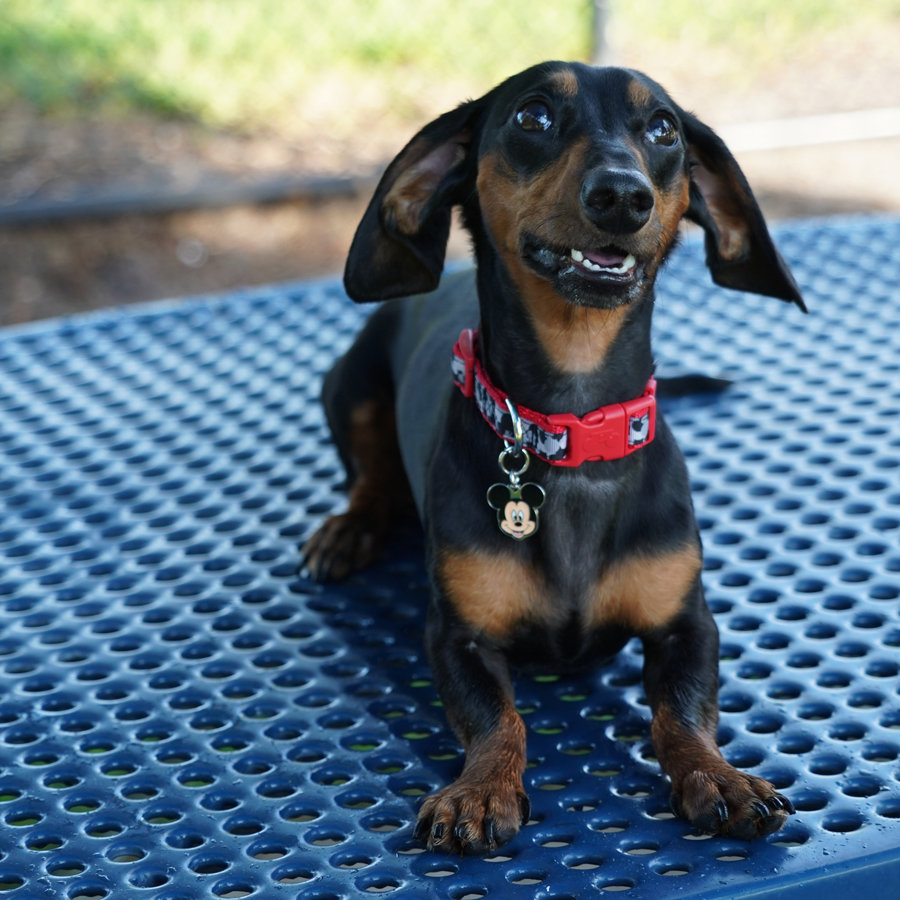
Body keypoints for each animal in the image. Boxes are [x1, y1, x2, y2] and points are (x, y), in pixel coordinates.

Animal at [300, 61, 800, 852]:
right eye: (532, 116)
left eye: (664, 129)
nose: (623, 195)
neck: (572, 419)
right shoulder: (459, 636)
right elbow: (499, 717)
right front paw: (481, 788)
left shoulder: (687, 625)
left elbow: (684, 714)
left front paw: (715, 775)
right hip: (348, 386)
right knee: (370, 478)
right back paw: (350, 528)